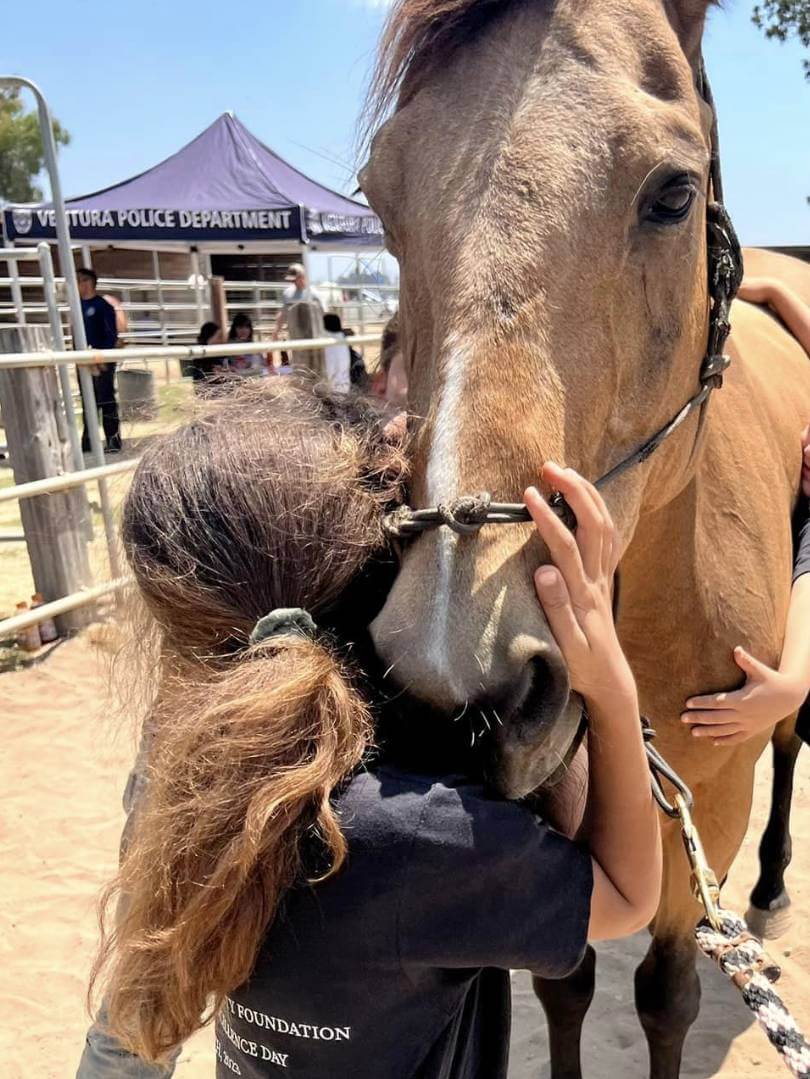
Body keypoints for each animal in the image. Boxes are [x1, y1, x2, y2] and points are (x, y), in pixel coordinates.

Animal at [359, 2, 810, 1076]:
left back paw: (776, 883)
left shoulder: (708, 812)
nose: (455, 675)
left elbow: (667, 995)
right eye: (378, 198)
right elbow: (564, 982)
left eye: (674, 192)